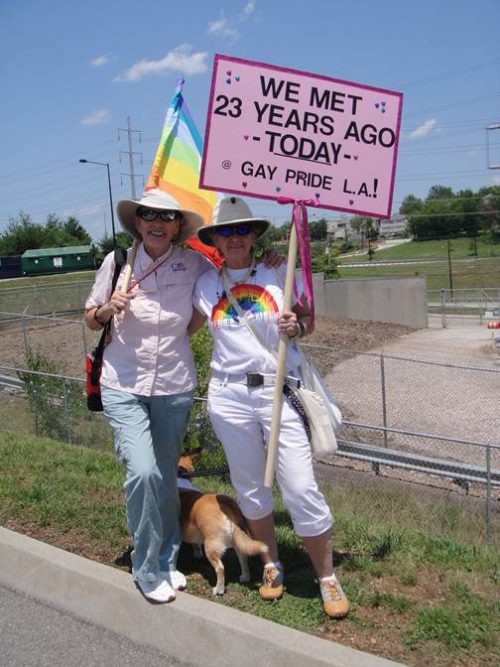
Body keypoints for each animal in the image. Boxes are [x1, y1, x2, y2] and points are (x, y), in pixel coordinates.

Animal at [178, 452, 268, 596]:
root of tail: (228, 507)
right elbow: (195, 543)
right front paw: (197, 553)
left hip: (210, 547)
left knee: (220, 568)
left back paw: (218, 589)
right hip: (236, 541)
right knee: (243, 558)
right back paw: (245, 577)